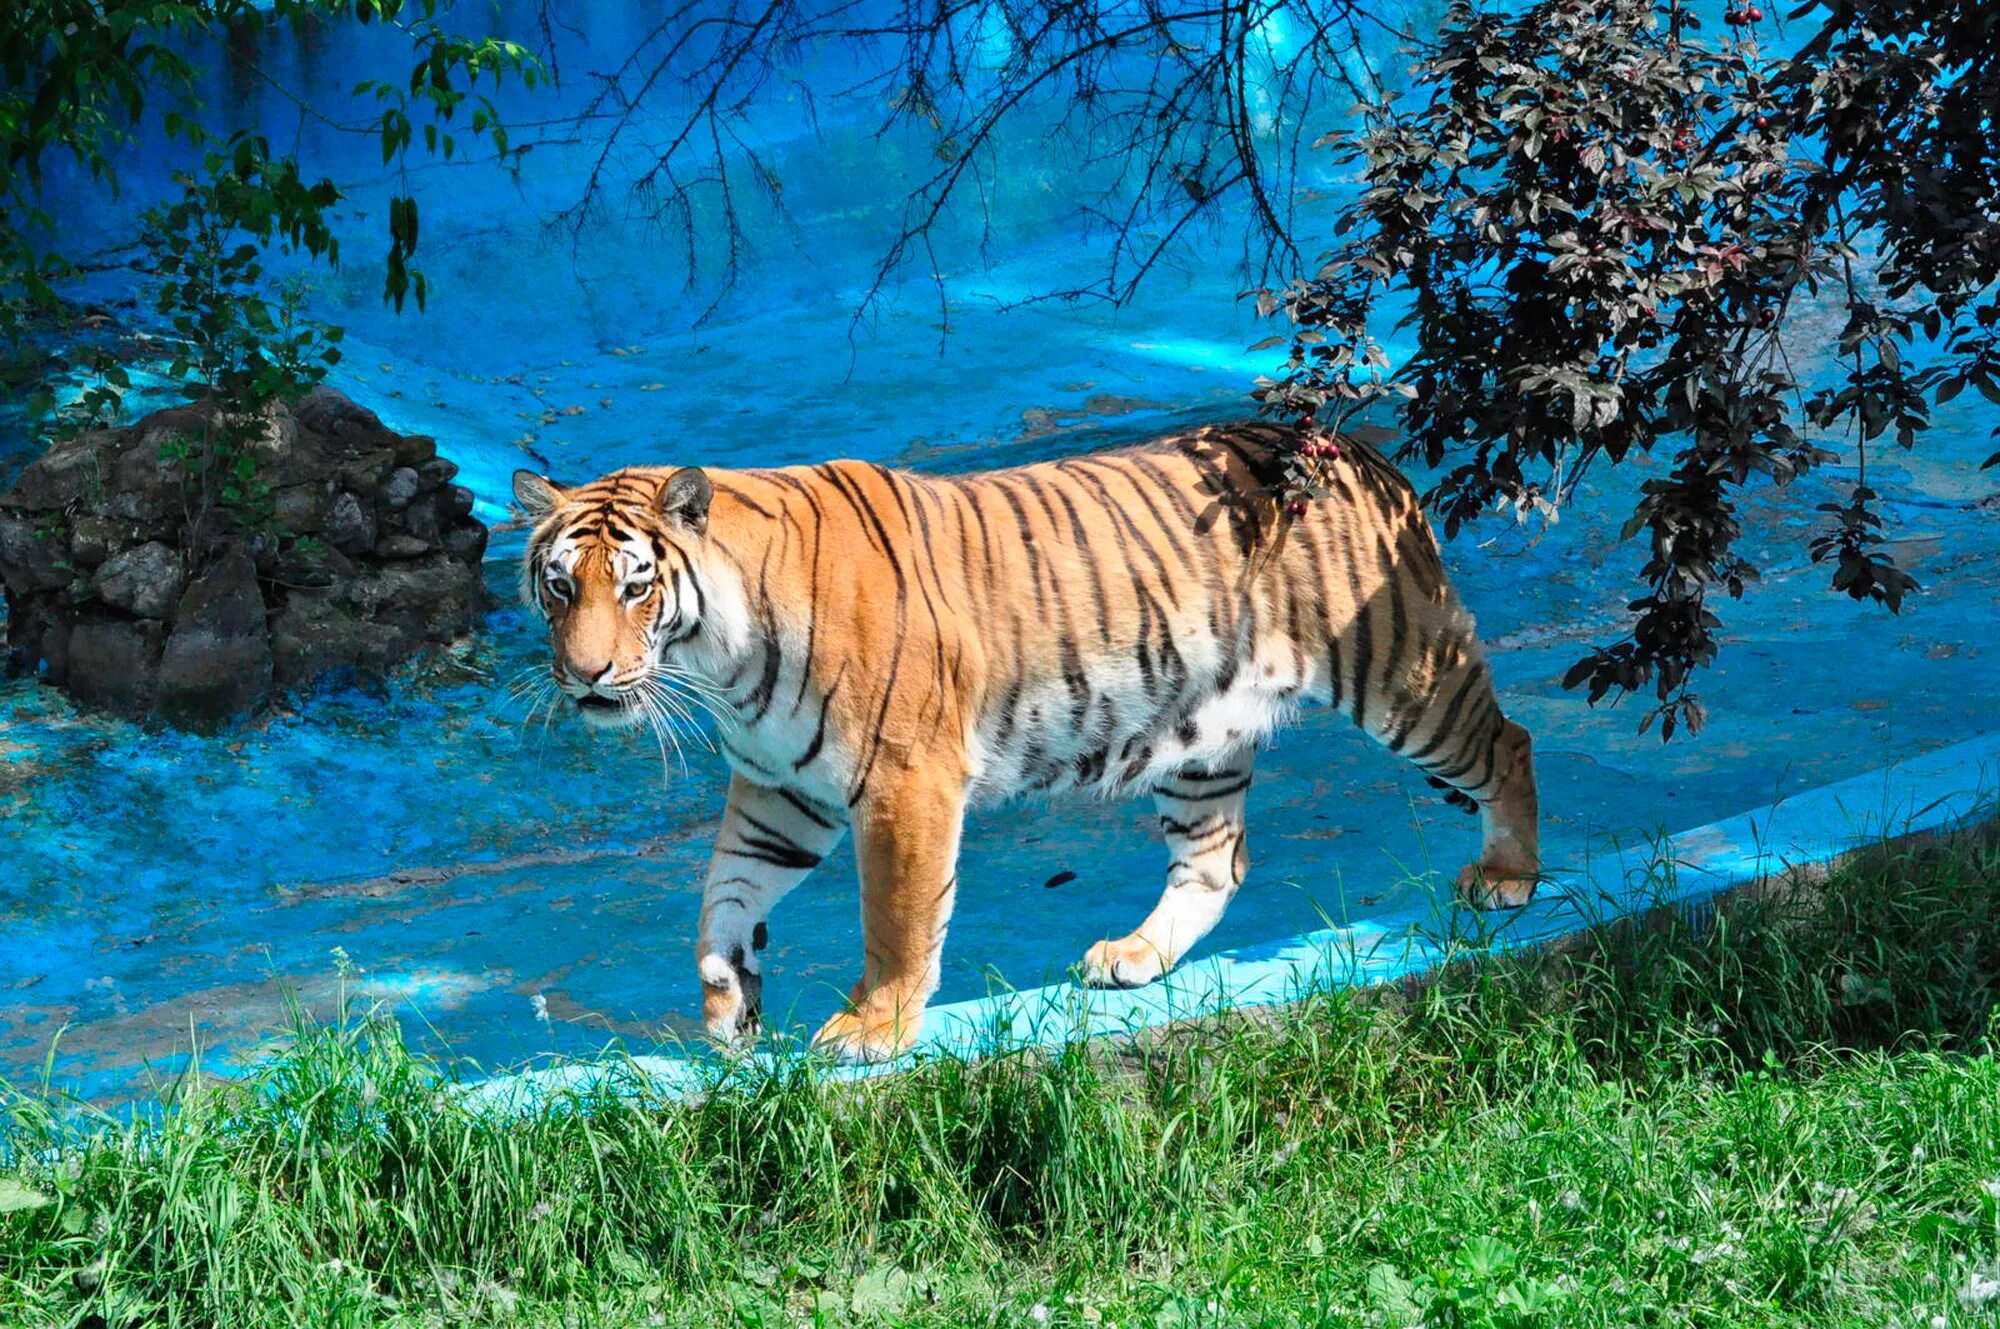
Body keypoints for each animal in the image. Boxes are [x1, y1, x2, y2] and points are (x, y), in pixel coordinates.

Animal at [512, 422, 1539, 1062]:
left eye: (636, 586)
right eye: (561, 586)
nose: (586, 676)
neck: (719, 658)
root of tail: (1358, 450)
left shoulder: (904, 781)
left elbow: (896, 915)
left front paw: (872, 1029)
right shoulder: (780, 792)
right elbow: (720, 897)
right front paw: (729, 1008)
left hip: (1400, 673)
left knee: (1509, 740)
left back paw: (1507, 878)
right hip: (1201, 736)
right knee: (1215, 862)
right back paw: (1136, 954)